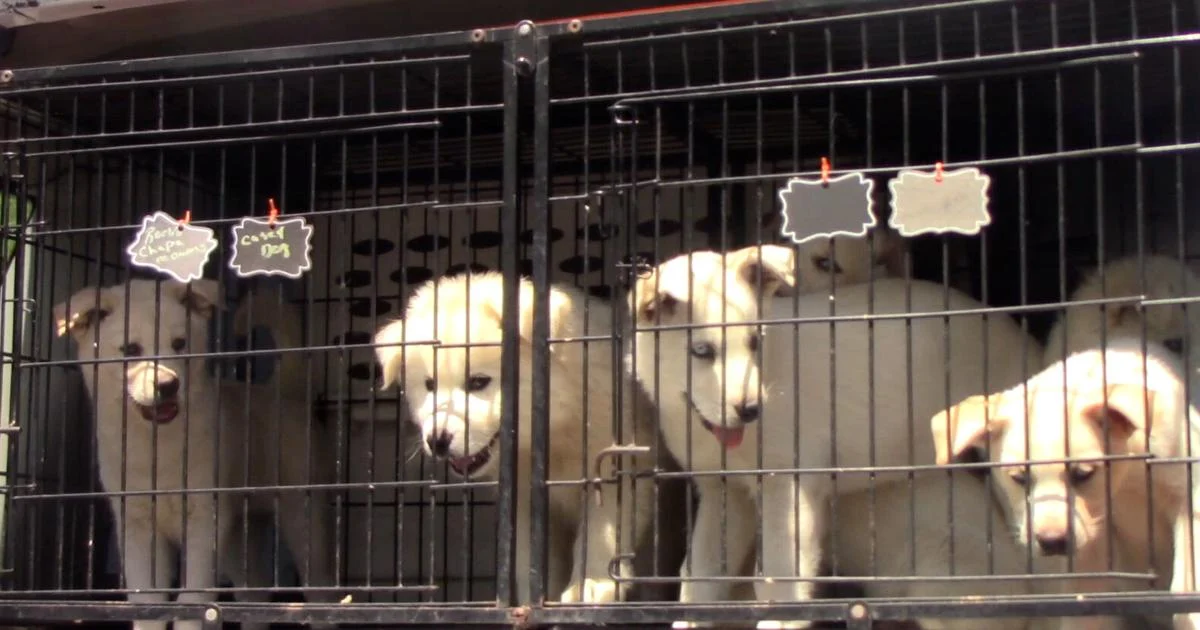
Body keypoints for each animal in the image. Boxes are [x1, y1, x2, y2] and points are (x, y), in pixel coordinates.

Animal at [54, 278, 338, 628]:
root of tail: (284, 391)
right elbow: (148, 603)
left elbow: (191, 599)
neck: (157, 447)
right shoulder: (137, 526)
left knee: (321, 594)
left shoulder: (204, 520)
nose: (167, 385)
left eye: (180, 343)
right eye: (131, 350)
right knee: (254, 591)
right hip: (238, 535)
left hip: (303, 517)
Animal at [372, 271, 657, 604]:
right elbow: (530, 557)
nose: (438, 441)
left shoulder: (616, 461)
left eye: (478, 382)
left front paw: (589, 586)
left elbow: (603, 530)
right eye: (429, 385)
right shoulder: (525, 499)